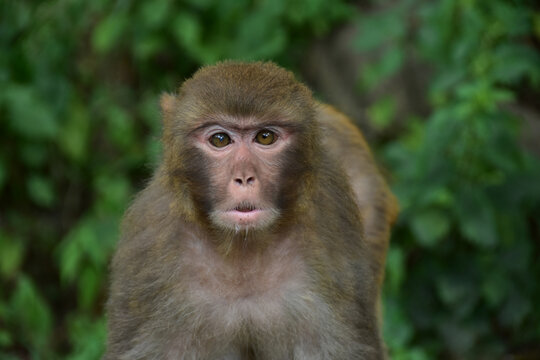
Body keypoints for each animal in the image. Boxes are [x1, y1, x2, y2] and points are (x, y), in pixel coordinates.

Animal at [104, 60, 396, 358]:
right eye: (220, 139)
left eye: (265, 137)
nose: (244, 177)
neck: (242, 247)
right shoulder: (152, 249)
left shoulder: (330, 231)